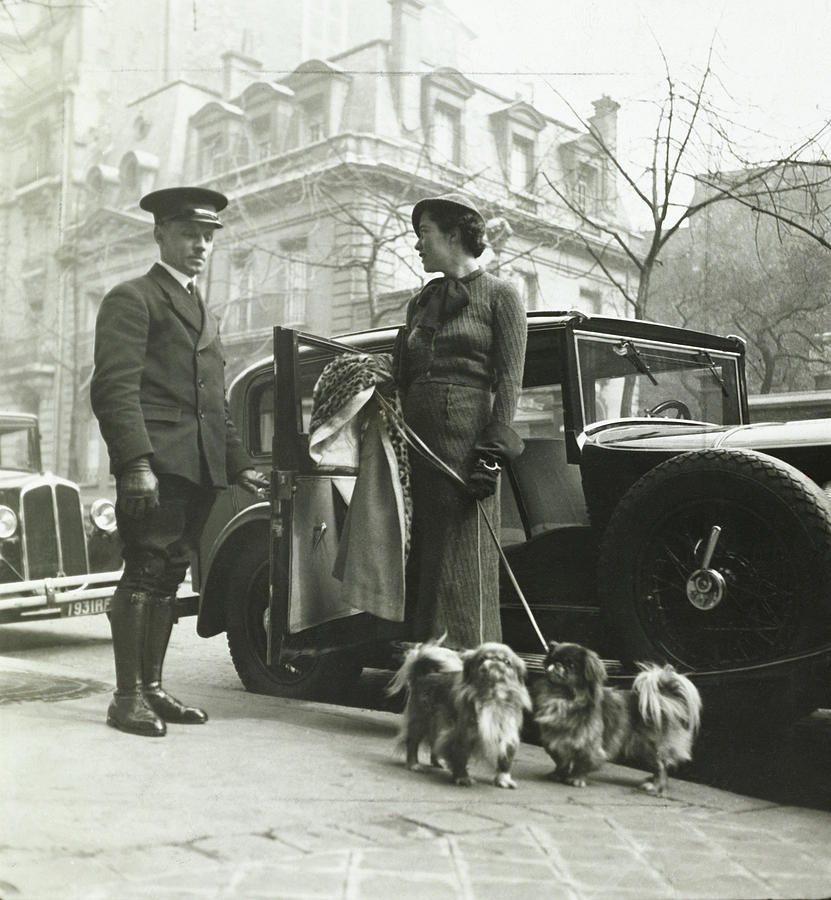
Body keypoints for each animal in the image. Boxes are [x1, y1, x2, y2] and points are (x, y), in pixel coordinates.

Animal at [390, 640, 532, 788]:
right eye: (483, 659)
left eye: (507, 662)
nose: (495, 661)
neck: (491, 696)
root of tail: (422, 676)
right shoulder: (463, 735)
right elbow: (461, 757)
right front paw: (463, 778)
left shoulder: (507, 734)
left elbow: (505, 760)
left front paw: (503, 779)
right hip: (420, 721)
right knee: (412, 743)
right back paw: (414, 765)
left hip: (438, 724)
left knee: (434, 743)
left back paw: (438, 763)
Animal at [532, 640, 704, 796]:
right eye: (553, 660)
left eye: (571, 665)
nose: (557, 664)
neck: (562, 697)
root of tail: (663, 702)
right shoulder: (556, 741)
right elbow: (560, 761)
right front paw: (558, 775)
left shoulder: (590, 746)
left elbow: (583, 764)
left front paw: (576, 779)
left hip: (648, 748)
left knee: (661, 766)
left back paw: (655, 787)